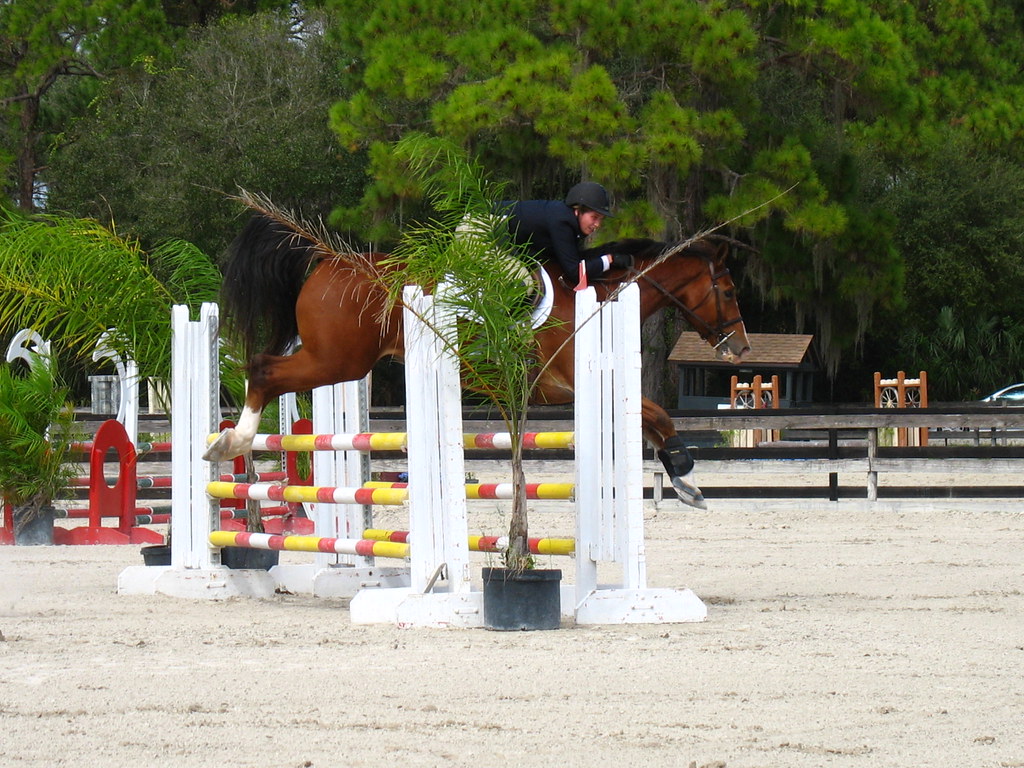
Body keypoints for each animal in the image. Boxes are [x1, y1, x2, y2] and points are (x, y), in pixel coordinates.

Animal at [204, 213, 751, 508]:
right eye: (727, 291)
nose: (741, 348)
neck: (600, 296)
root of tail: (327, 260)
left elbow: (653, 421)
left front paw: (682, 481)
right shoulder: (573, 385)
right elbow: (659, 415)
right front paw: (687, 476)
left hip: (336, 361)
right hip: (338, 361)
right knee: (262, 370)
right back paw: (231, 440)